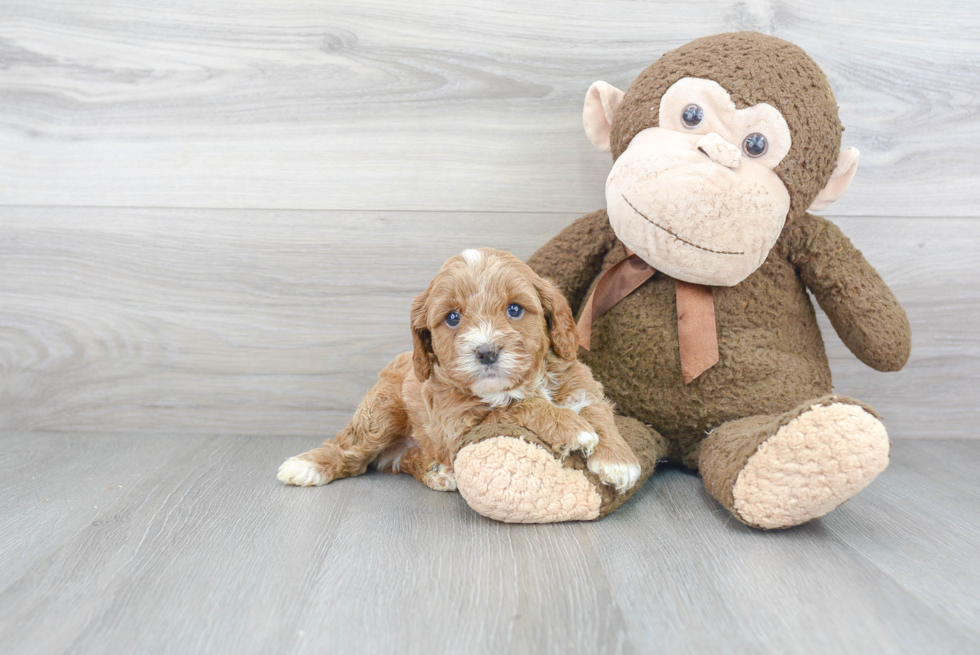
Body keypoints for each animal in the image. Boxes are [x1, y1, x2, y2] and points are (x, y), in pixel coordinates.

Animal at [278, 249, 644, 494]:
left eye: (514, 309)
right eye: (452, 317)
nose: (486, 351)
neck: (525, 382)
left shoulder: (581, 382)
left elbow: (598, 413)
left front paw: (617, 460)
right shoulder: (459, 423)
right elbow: (516, 406)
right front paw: (571, 427)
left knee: (400, 459)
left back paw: (436, 471)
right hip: (382, 410)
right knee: (352, 451)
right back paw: (308, 465)